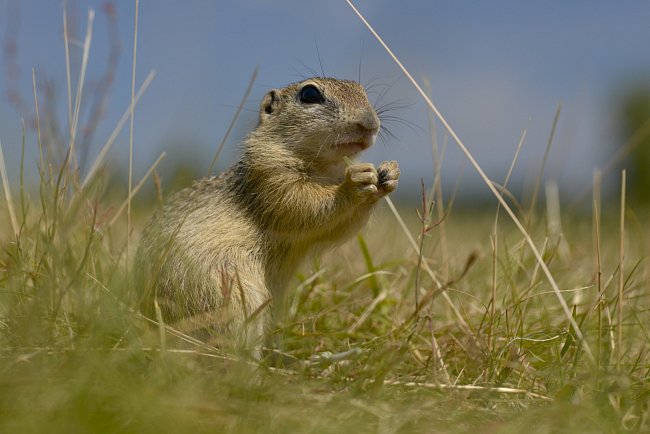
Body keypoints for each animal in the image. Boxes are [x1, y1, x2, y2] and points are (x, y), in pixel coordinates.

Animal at [136, 77, 398, 352]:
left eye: (363, 91)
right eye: (310, 94)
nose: (370, 123)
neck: (324, 169)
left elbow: (336, 229)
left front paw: (388, 175)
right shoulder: (270, 176)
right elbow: (305, 205)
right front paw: (353, 183)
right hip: (226, 292)